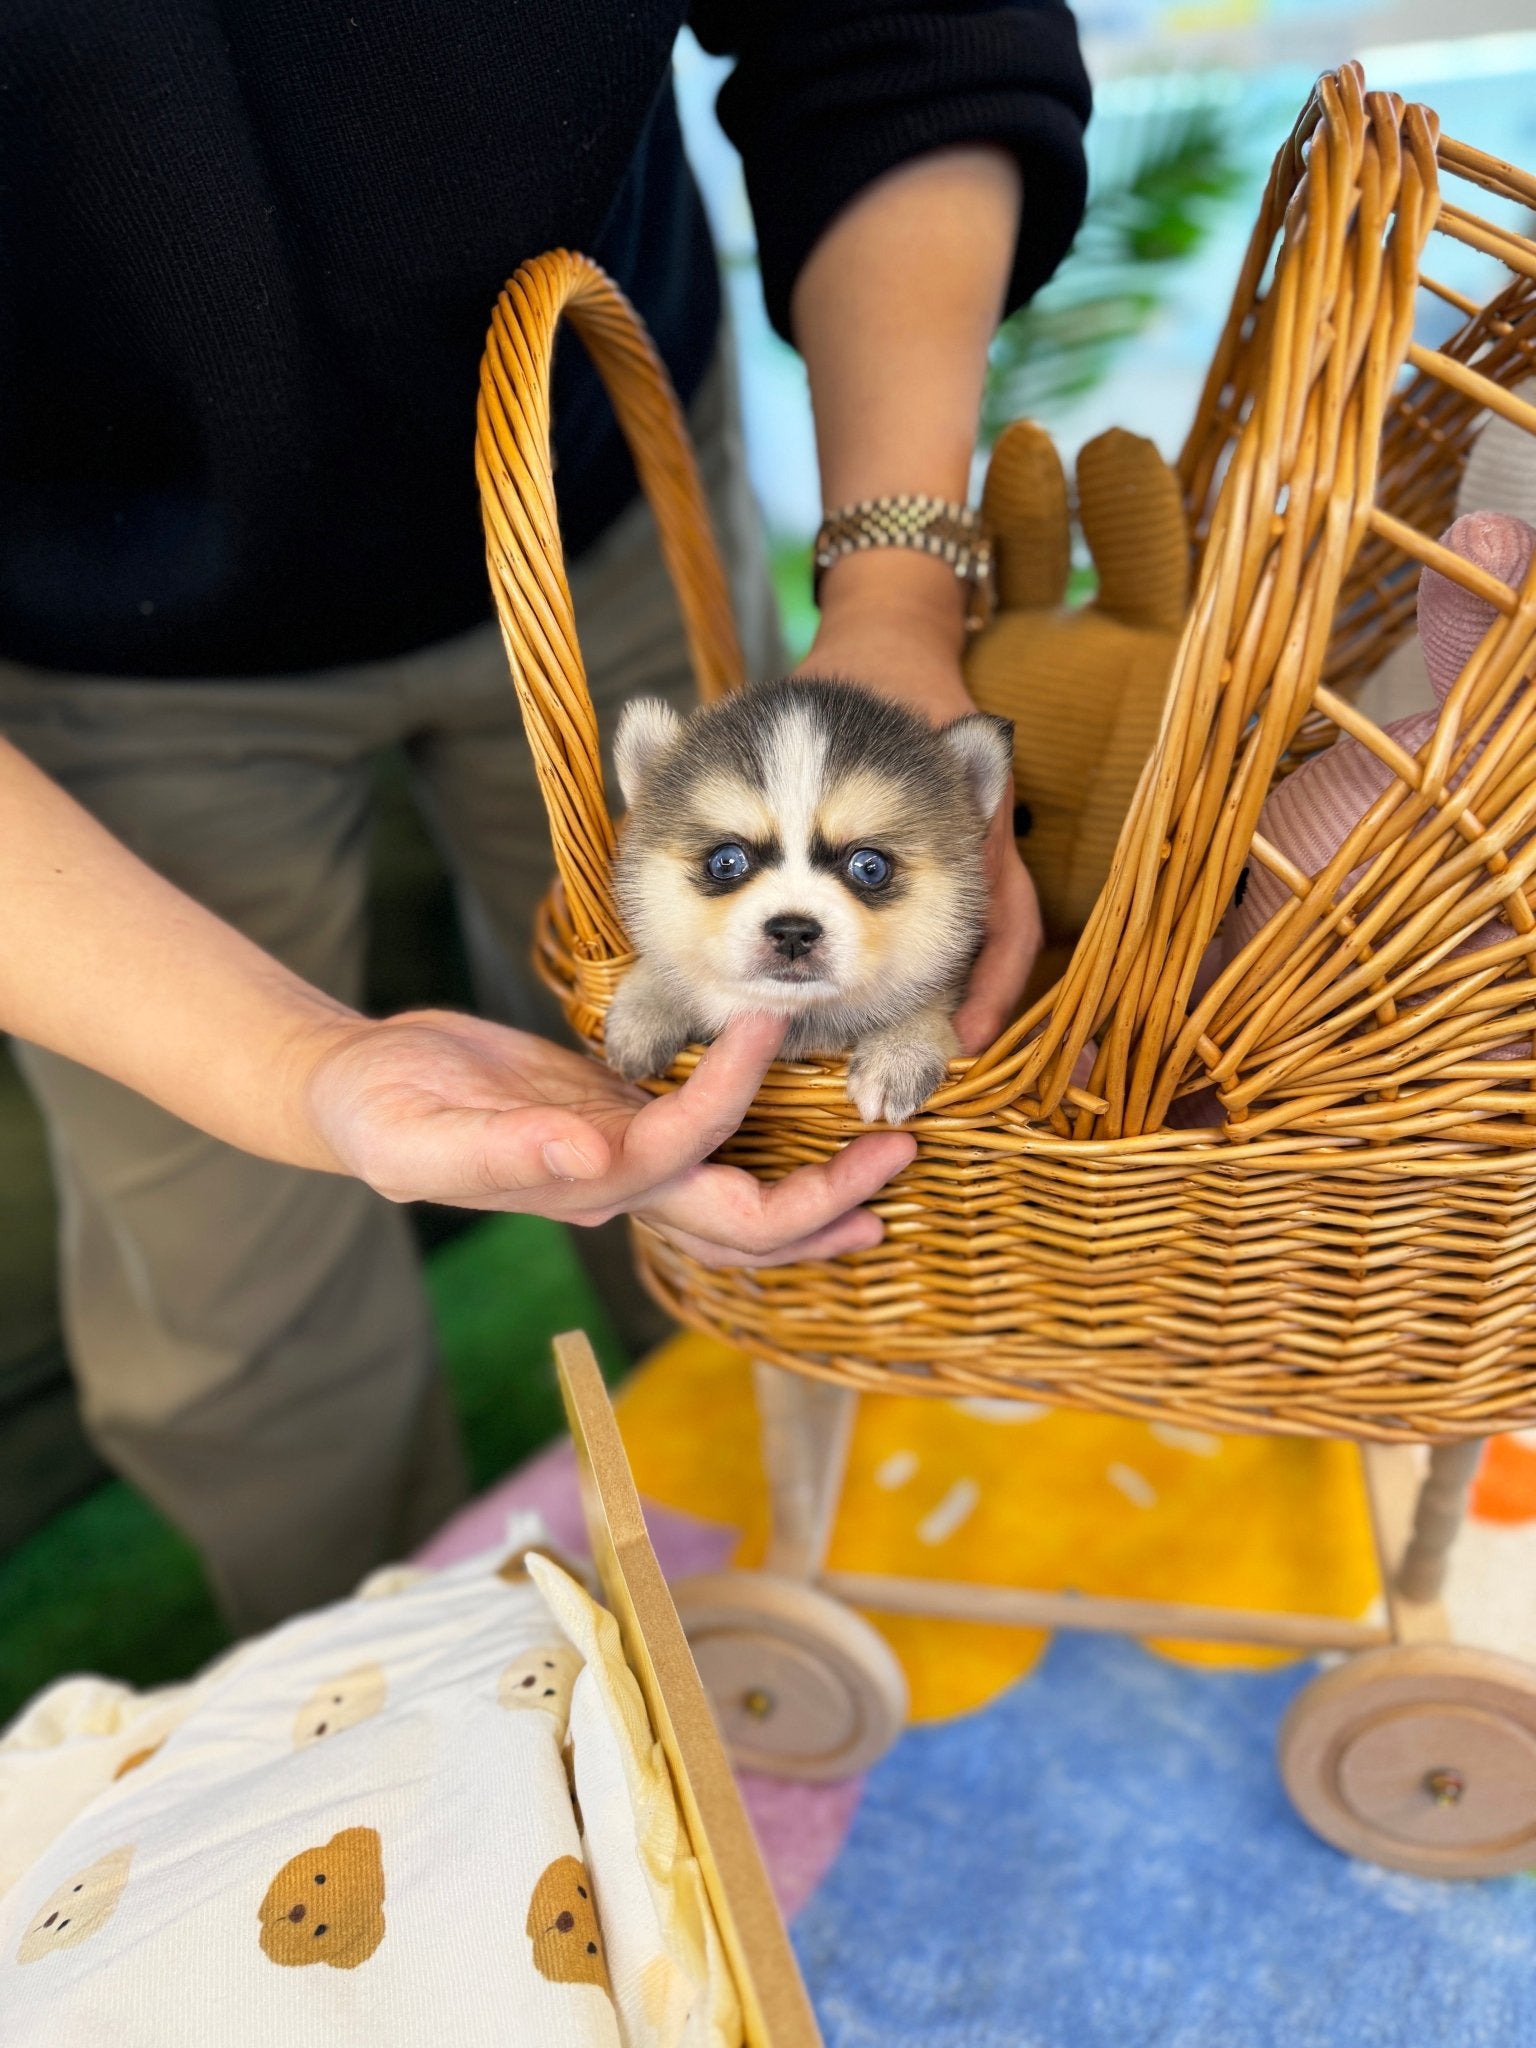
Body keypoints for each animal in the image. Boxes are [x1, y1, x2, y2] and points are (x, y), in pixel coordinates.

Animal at [606, 671, 1015, 1122]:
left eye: (869, 867)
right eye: (726, 861)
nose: (792, 932)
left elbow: (929, 995)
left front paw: (902, 1049)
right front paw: (646, 1007)